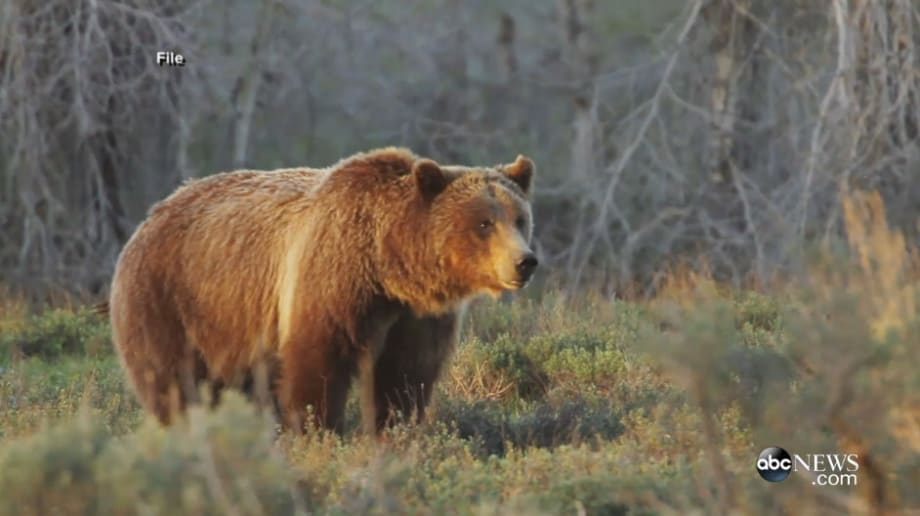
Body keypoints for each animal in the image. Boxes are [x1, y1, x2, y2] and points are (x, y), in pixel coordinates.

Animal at [108, 147, 537, 435]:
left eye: (519, 218)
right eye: (484, 223)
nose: (525, 262)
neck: (388, 266)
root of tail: (152, 215)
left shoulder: (414, 318)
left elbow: (404, 377)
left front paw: (394, 431)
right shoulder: (330, 279)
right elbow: (317, 366)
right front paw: (317, 431)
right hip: (171, 300)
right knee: (173, 382)